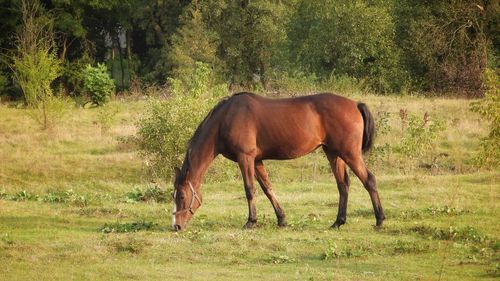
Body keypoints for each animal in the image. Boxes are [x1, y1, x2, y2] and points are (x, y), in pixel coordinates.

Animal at [170, 92, 384, 230]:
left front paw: (251, 221)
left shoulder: (245, 158)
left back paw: (379, 220)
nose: (176, 226)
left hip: (349, 154)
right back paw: (338, 221)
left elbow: (250, 189)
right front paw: (281, 219)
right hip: (333, 153)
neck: (226, 119)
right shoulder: (256, 161)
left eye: (181, 196)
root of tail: (355, 104)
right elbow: (268, 188)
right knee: (343, 185)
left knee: (369, 180)